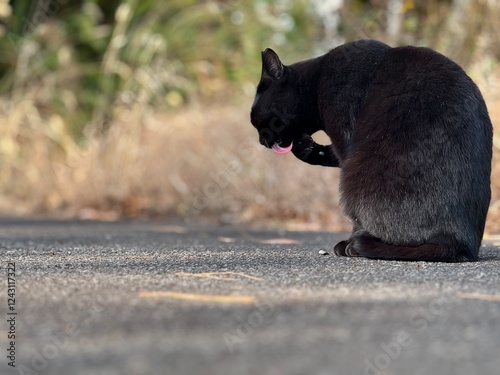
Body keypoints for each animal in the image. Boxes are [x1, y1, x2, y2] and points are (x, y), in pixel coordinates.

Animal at [250, 38, 492, 262]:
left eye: (256, 118)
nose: (261, 140)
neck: (317, 81)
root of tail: (459, 239)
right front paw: (305, 146)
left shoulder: (346, 141)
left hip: (353, 181)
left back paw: (354, 246)